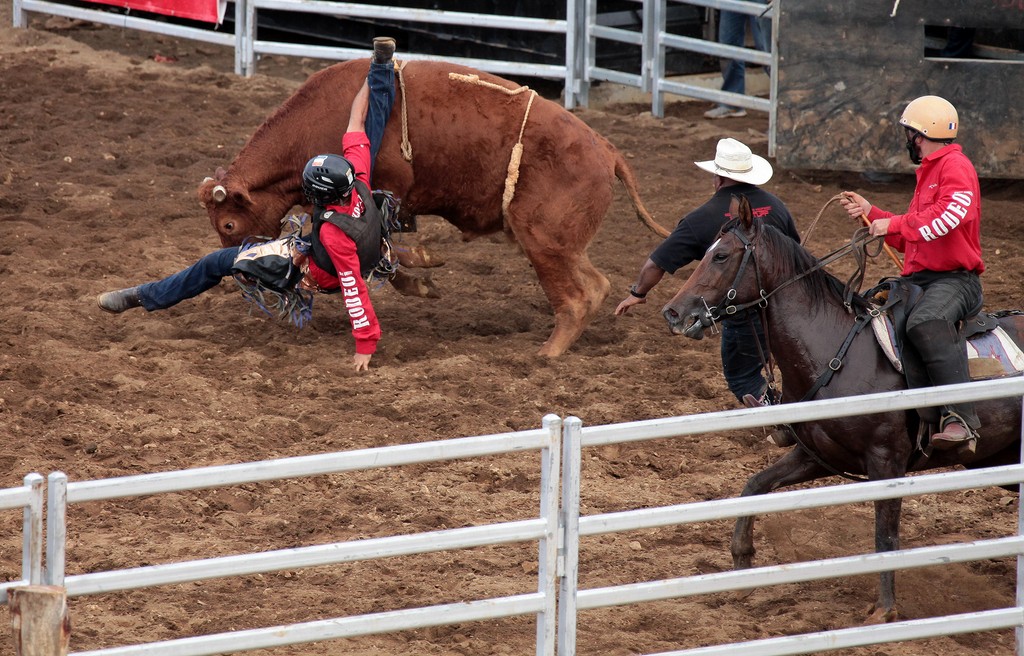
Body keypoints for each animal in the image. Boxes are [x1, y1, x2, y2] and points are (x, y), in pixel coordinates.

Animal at [199, 58, 667, 356]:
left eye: (228, 223)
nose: (241, 274)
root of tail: (606, 150)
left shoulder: (389, 190)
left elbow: (386, 251)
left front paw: (424, 268)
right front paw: (424, 274)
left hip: (542, 237)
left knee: (574, 298)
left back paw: (547, 353)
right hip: (562, 242)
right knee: (597, 283)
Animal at [659, 194, 1019, 618]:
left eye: (720, 256)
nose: (673, 312)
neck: (836, 349)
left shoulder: (886, 461)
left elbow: (885, 536)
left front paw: (885, 609)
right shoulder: (817, 454)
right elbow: (755, 485)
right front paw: (742, 563)